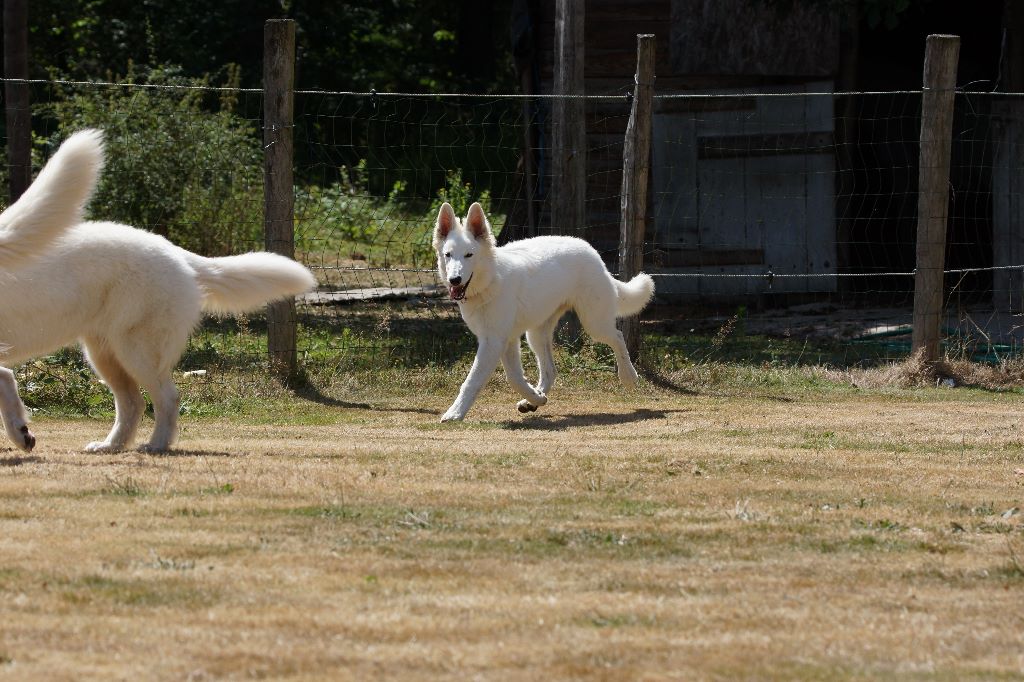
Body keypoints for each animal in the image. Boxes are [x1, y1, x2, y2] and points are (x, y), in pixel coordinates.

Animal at [0, 130, 315, 454]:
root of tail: (175, 252)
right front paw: (21, 433)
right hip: (107, 354)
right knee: (133, 403)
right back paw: (110, 445)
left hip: (136, 351)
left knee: (166, 398)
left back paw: (156, 444)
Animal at [432, 200, 655, 419]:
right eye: (448, 255)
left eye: (469, 255)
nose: (454, 280)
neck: (490, 280)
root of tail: (591, 251)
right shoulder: (506, 341)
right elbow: (515, 378)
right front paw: (536, 398)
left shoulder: (493, 342)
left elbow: (473, 381)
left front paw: (455, 413)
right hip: (536, 336)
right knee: (550, 370)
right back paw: (533, 400)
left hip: (594, 324)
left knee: (618, 337)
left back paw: (628, 376)